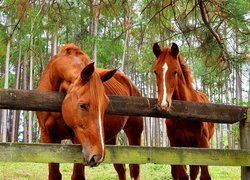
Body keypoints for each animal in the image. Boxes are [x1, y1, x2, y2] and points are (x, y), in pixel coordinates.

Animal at [36, 44, 143, 180]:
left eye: (105, 105)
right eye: (82, 105)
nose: (97, 156)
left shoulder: (78, 139)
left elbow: (77, 176)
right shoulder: (48, 137)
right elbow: (54, 174)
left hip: (135, 132)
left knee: (134, 169)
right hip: (111, 138)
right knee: (121, 168)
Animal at [152, 42, 215, 180]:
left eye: (175, 71)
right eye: (155, 71)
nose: (163, 104)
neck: (185, 113)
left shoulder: (203, 144)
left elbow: (204, 175)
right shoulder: (176, 144)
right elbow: (182, 175)